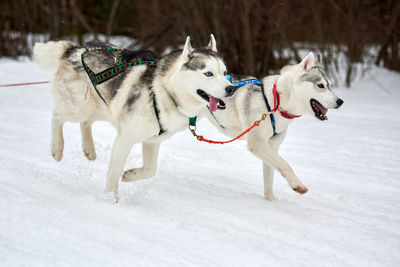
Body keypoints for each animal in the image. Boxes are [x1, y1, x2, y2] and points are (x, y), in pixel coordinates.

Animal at [34, 35, 236, 197]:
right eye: (208, 73)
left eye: (225, 73)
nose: (231, 88)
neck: (164, 91)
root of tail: (76, 49)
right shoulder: (126, 138)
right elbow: (114, 172)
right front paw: (110, 200)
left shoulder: (152, 141)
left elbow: (150, 170)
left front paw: (129, 175)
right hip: (79, 107)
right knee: (57, 116)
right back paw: (57, 148)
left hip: (103, 107)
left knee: (85, 123)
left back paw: (89, 149)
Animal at [203, 52, 344, 201]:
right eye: (321, 85)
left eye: (329, 86)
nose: (340, 101)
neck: (276, 103)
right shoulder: (257, 143)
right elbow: (285, 165)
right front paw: (298, 185)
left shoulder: (272, 146)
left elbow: (270, 178)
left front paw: (270, 200)